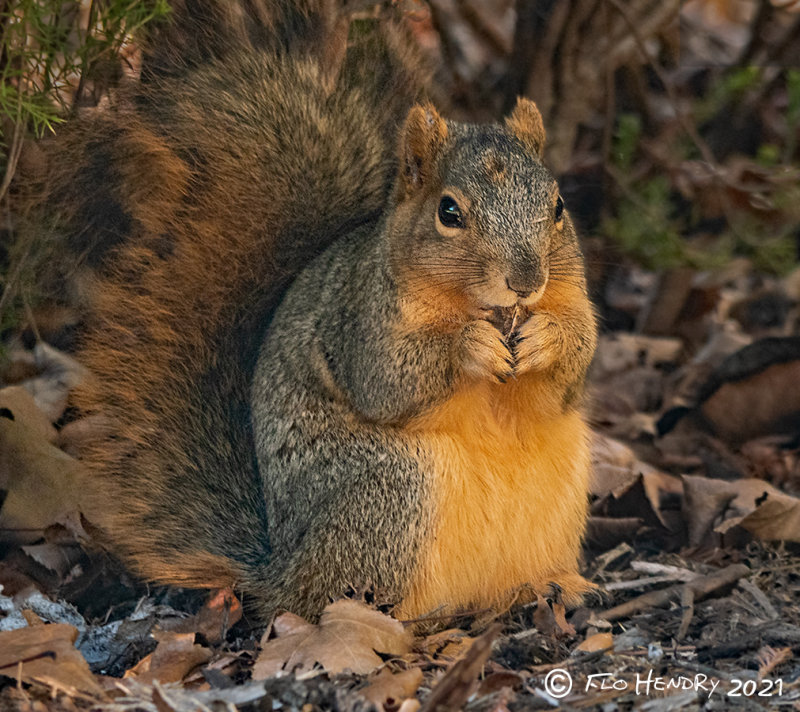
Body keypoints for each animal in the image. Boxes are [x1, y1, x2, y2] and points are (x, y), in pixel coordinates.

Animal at [34, 0, 596, 620]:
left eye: (558, 206)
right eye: (449, 212)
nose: (526, 281)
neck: (479, 304)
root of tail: (282, 571)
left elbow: (570, 375)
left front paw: (548, 337)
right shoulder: (359, 319)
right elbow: (388, 381)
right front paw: (467, 345)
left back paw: (549, 587)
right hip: (394, 490)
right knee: (349, 595)